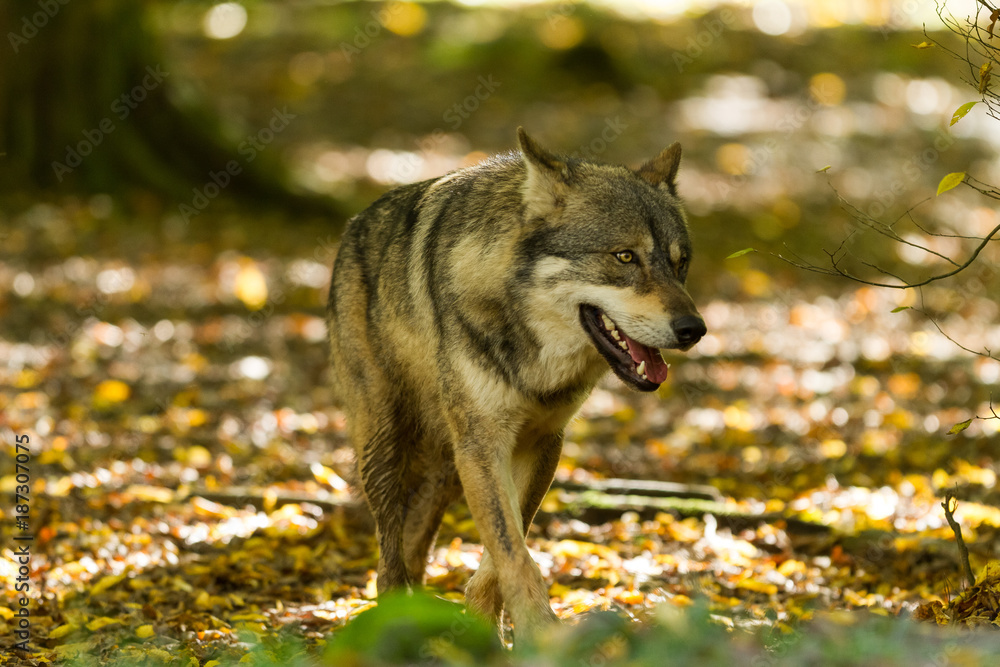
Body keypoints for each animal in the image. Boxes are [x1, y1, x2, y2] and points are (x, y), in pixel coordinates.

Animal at [327, 128, 706, 640]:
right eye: (625, 257)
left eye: (680, 264)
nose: (694, 329)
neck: (536, 360)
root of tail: (353, 226)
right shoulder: (483, 446)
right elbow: (512, 551)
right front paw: (539, 636)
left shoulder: (539, 443)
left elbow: (509, 544)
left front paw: (486, 627)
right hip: (386, 443)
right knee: (387, 559)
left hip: (445, 467)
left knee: (415, 545)